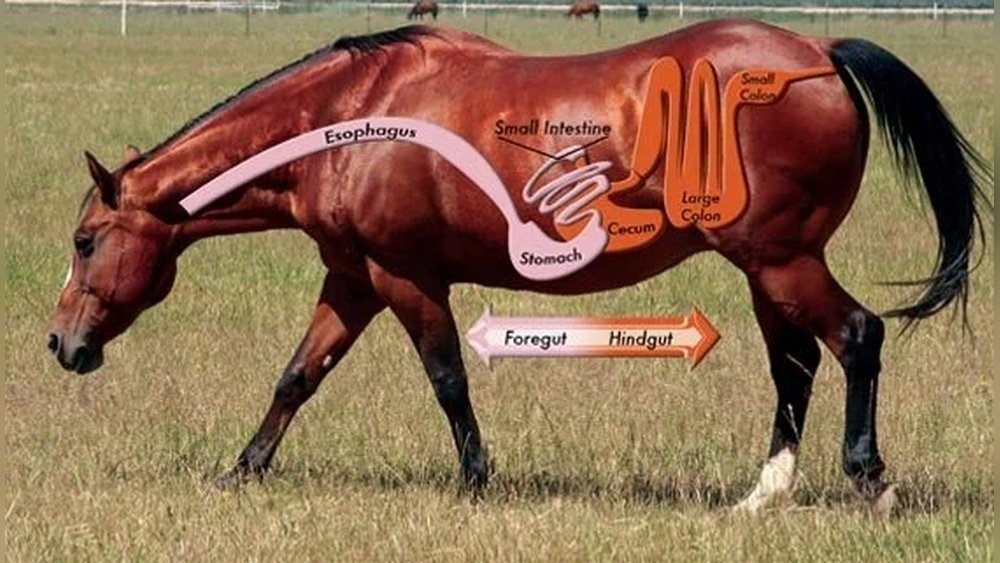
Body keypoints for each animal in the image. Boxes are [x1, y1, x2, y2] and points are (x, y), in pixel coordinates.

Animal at [47, 21, 990, 513]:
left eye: (85, 239)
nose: (63, 345)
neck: (352, 115)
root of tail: (819, 51)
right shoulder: (352, 277)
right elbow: (296, 377)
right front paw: (241, 469)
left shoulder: (404, 277)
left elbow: (447, 378)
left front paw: (476, 480)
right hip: (768, 269)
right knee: (793, 365)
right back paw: (762, 494)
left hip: (783, 259)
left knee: (856, 337)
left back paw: (869, 479)